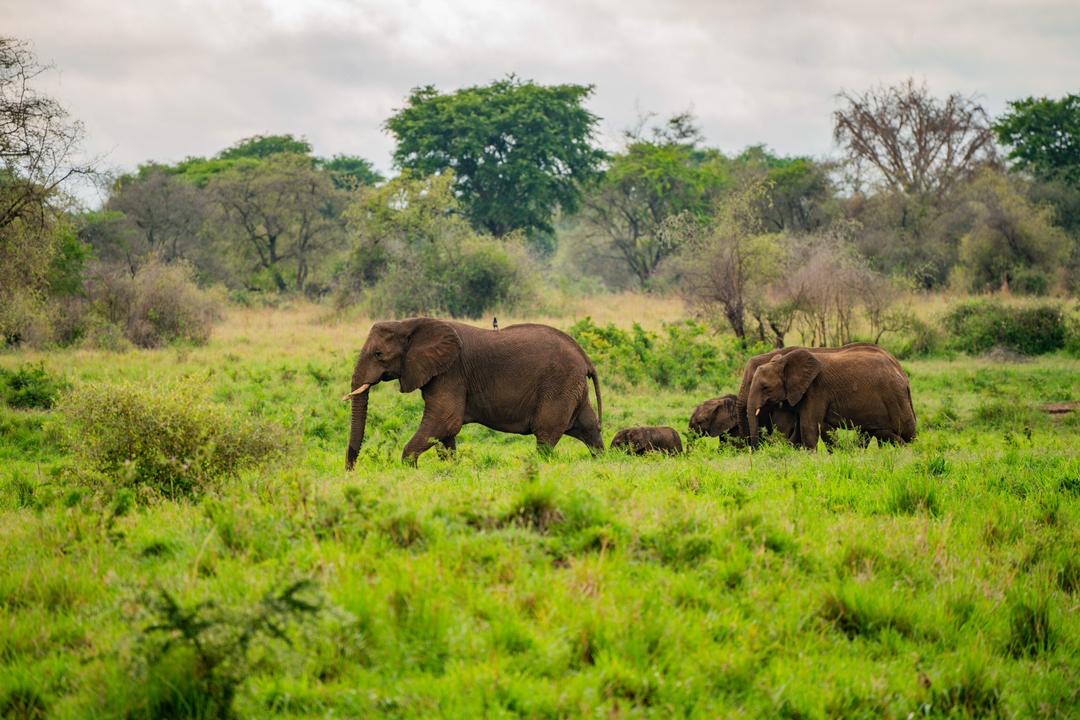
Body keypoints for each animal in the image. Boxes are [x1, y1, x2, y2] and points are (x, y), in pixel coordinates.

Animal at [341, 317, 604, 468]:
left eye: (378, 354)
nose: (351, 469)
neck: (409, 323)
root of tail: (584, 357)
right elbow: (445, 430)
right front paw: (451, 468)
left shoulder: (451, 372)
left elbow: (446, 420)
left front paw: (409, 468)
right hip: (571, 386)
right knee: (588, 426)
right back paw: (603, 459)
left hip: (558, 384)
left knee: (546, 434)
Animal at [747, 345, 915, 451]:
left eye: (765, 387)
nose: (756, 450)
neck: (784, 361)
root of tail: (902, 375)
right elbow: (801, 429)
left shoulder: (816, 390)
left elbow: (808, 427)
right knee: (872, 431)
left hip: (895, 396)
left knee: (907, 430)